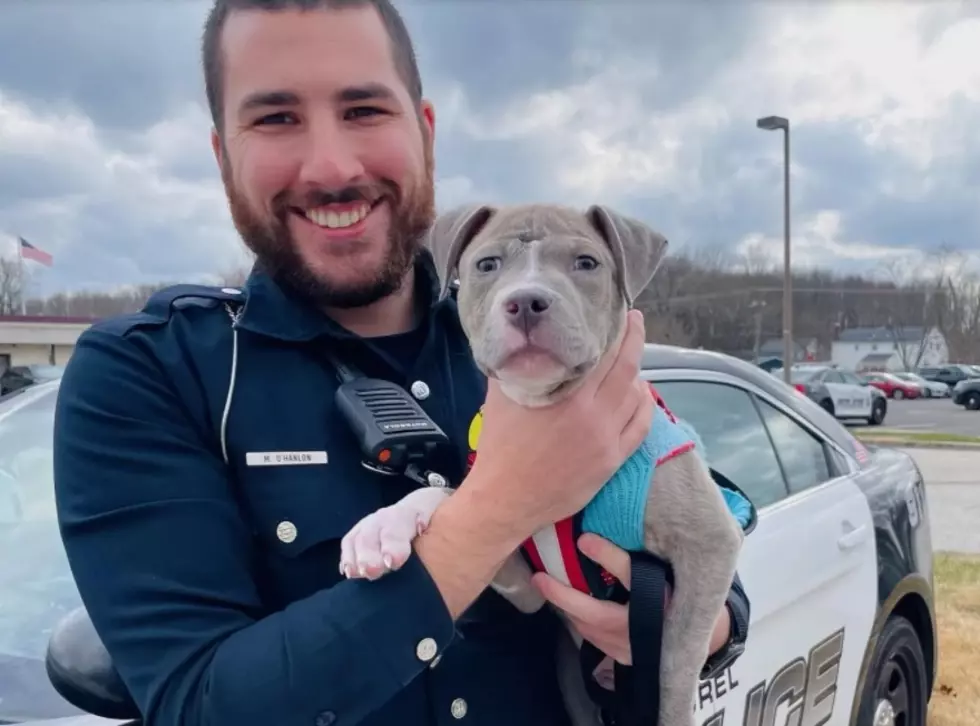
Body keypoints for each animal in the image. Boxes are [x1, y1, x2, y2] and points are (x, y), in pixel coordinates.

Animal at [340, 202, 748, 726]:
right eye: (487, 264)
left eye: (586, 263)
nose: (526, 301)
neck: (543, 404)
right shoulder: (527, 583)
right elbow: (446, 493)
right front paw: (380, 528)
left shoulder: (710, 543)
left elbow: (673, 662)